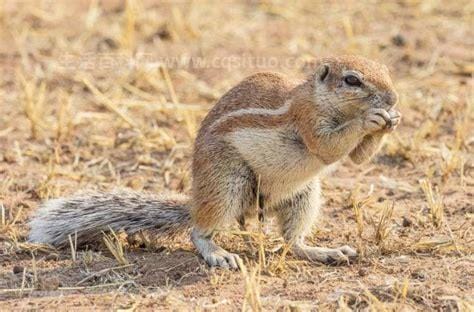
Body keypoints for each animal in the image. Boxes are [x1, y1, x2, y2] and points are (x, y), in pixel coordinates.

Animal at [28, 55, 400, 268]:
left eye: (386, 70)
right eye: (352, 80)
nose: (394, 98)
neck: (321, 98)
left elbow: (357, 158)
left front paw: (392, 121)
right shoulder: (306, 118)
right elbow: (328, 147)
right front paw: (370, 119)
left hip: (303, 195)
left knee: (292, 241)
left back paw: (324, 252)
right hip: (226, 184)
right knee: (199, 231)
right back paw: (218, 254)